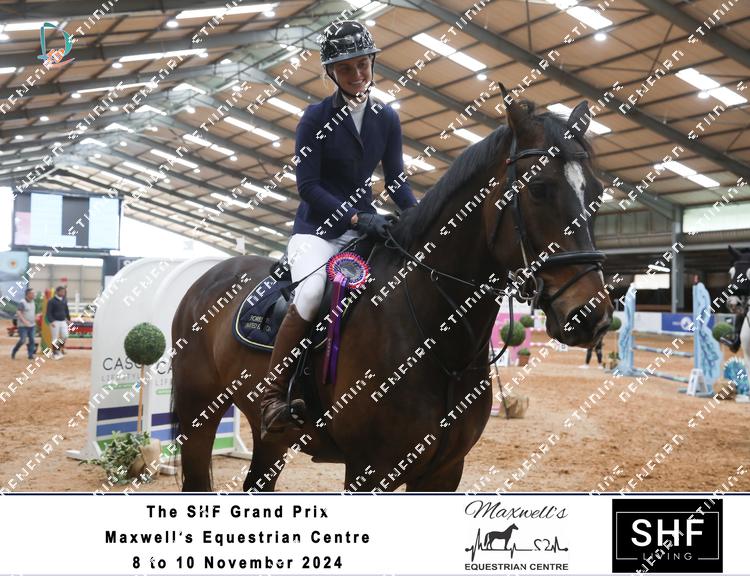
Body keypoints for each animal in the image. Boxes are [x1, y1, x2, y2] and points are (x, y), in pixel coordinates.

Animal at [170, 90, 614, 492]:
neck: (439, 341)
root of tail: (208, 277)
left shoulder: (444, 473)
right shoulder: (369, 471)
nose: (591, 316)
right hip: (198, 414)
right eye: (538, 189)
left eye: (596, 192)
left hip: (271, 437)